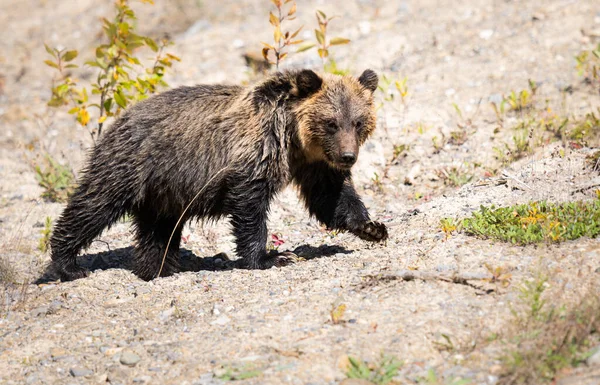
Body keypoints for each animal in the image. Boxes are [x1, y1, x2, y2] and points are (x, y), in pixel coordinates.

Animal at [50, 69, 390, 280]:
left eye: (358, 121)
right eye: (331, 122)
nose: (348, 157)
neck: (292, 138)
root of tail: (118, 119)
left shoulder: (314, 164)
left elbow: (330, 197)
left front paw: (372, 227)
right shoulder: (253, 155)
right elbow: (250, 207)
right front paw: (270, 257)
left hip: (165, 190)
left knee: (158, 229)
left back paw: (158, 268)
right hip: (131, 165)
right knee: (94, 205)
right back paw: (68, 263)